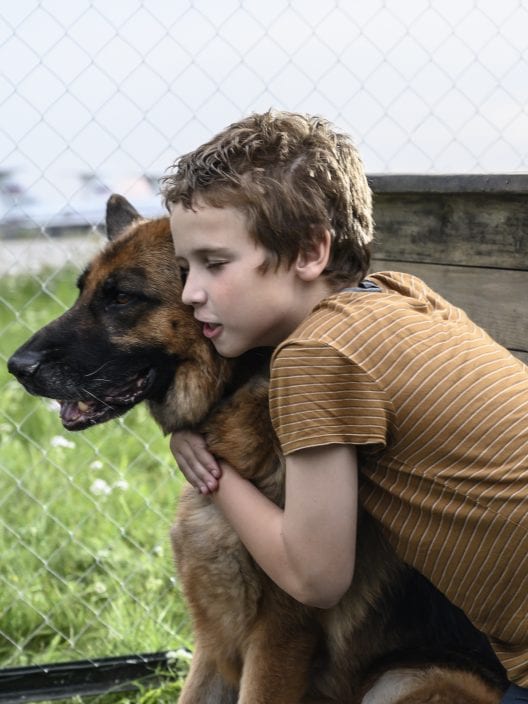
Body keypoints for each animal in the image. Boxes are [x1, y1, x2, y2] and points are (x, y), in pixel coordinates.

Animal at [7, 195, 508, 700]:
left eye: (123, 297)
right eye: (82, 291)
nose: (15, 366)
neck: (239, 384)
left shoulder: (279, 639)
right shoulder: (214, 642)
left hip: (408, 679)